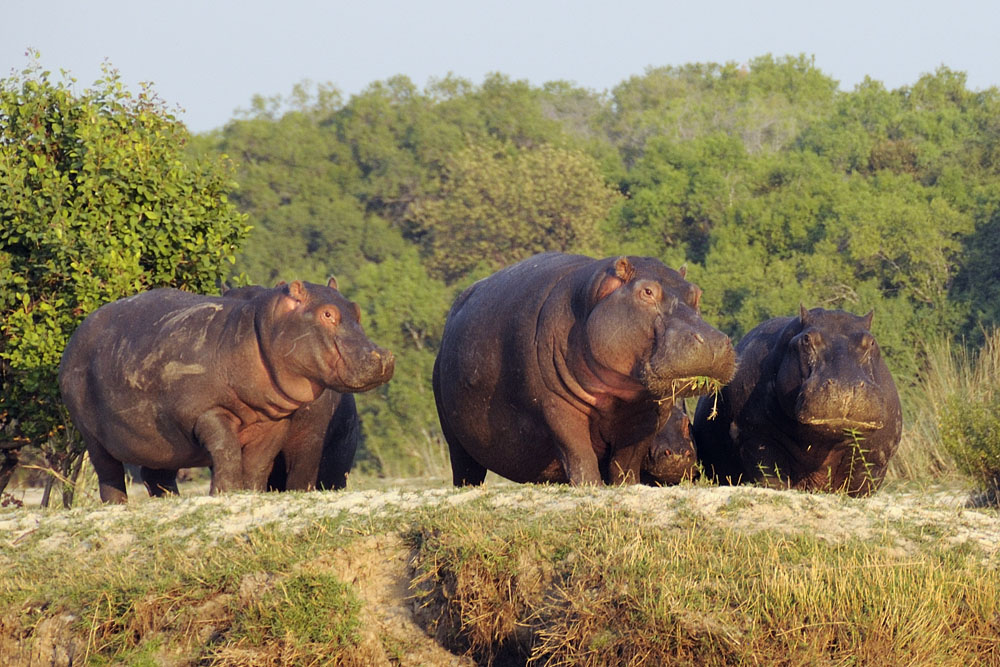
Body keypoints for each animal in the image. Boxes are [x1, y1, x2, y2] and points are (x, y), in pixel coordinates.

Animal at [59, 279, 394, 503]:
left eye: (356, 310)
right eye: (326, 314)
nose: (382, 356)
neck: (257, 333)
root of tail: (78, 332)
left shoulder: (275, 422)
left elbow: (259, 464)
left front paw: (252, 494)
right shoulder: (207, 412)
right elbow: (228, 451)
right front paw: (224, 493)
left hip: (161, 445)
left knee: (157, 476)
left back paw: (171, 501)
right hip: (93, 436)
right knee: (109, 474)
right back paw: (118, 505)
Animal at [433, 252, 735, 486]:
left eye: (696, 293)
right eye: (647, 291)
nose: (712, 342)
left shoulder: (648, 413)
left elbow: (627, 459)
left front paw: (627, 486)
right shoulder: (558, 405)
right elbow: (579, 453)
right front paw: (591, 486)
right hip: (455, 439)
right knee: (466, 471)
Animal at [692, 306, 902, 497]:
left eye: (871, 341)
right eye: (806, 339)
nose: (845, 387)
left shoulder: (875, 452)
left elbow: (860, 485)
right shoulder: (754, 436)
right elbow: (771, 476)